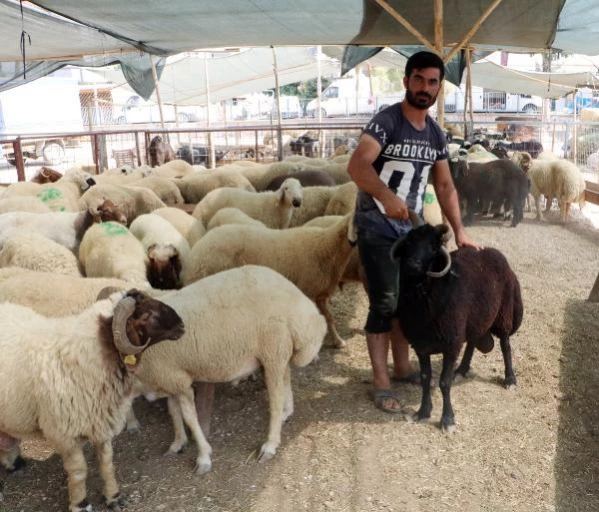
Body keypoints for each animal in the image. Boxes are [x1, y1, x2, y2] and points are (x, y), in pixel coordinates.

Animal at [0, 290, 185, 510]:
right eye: (151, 315)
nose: (182, 325)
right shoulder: (66, 434)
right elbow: (79, 472)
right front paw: (81, 504)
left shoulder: (101, 423)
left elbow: (107, 464)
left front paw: (114, 497)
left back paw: (13, 463)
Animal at [129, 266, 328, 474]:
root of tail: (297, 298)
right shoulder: (170, 376)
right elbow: (173, 410)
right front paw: (178, 442)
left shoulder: (176, 380)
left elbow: (190, 417)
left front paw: (203, 457)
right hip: (278, 350)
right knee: (286, 375)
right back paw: (287, 411)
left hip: (272, 347)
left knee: (276, 397)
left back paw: (270, 444)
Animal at [183, 214, 358, 350]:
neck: (328, 246)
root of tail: (196, 252)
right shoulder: (307, 290)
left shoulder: (319, 294)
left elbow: (329, 317)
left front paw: (338, 341)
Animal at [392, 220, 524, 432]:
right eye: (409, 242)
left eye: (433, 248)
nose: (412, 264)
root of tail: (494, 252)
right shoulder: (421, 345)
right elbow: (425, 378)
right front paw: (423, 412)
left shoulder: (451, 344)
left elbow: (443, 383)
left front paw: (447, 420)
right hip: (474, 320)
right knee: (471, 342)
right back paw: (461, 370)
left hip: (503, 314)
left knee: (505, 345)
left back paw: (510, 378)